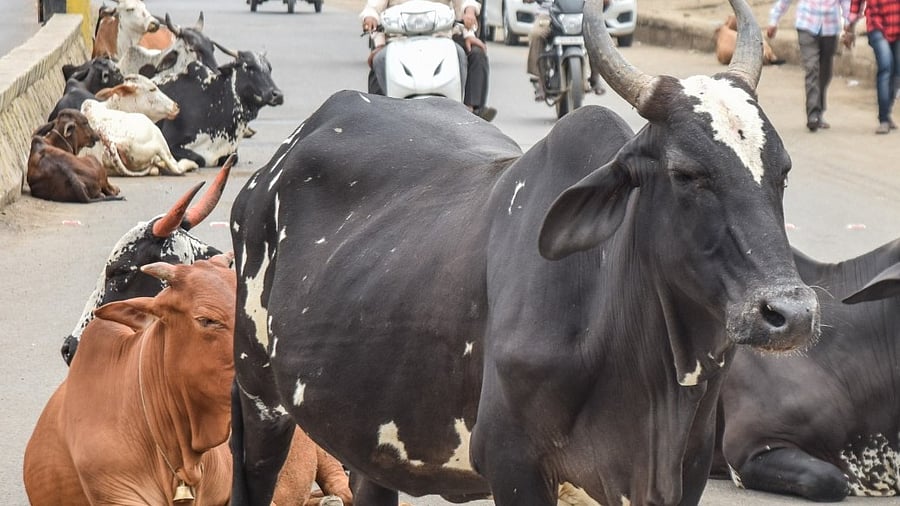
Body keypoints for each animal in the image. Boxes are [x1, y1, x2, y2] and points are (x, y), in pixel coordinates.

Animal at [227, 0, 821, 504]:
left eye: (785, 171)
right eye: (686, 173)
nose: (790, 314)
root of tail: (269, 169)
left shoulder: (687, 469)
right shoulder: (514, 464)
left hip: (367, 433)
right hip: (259, 397)